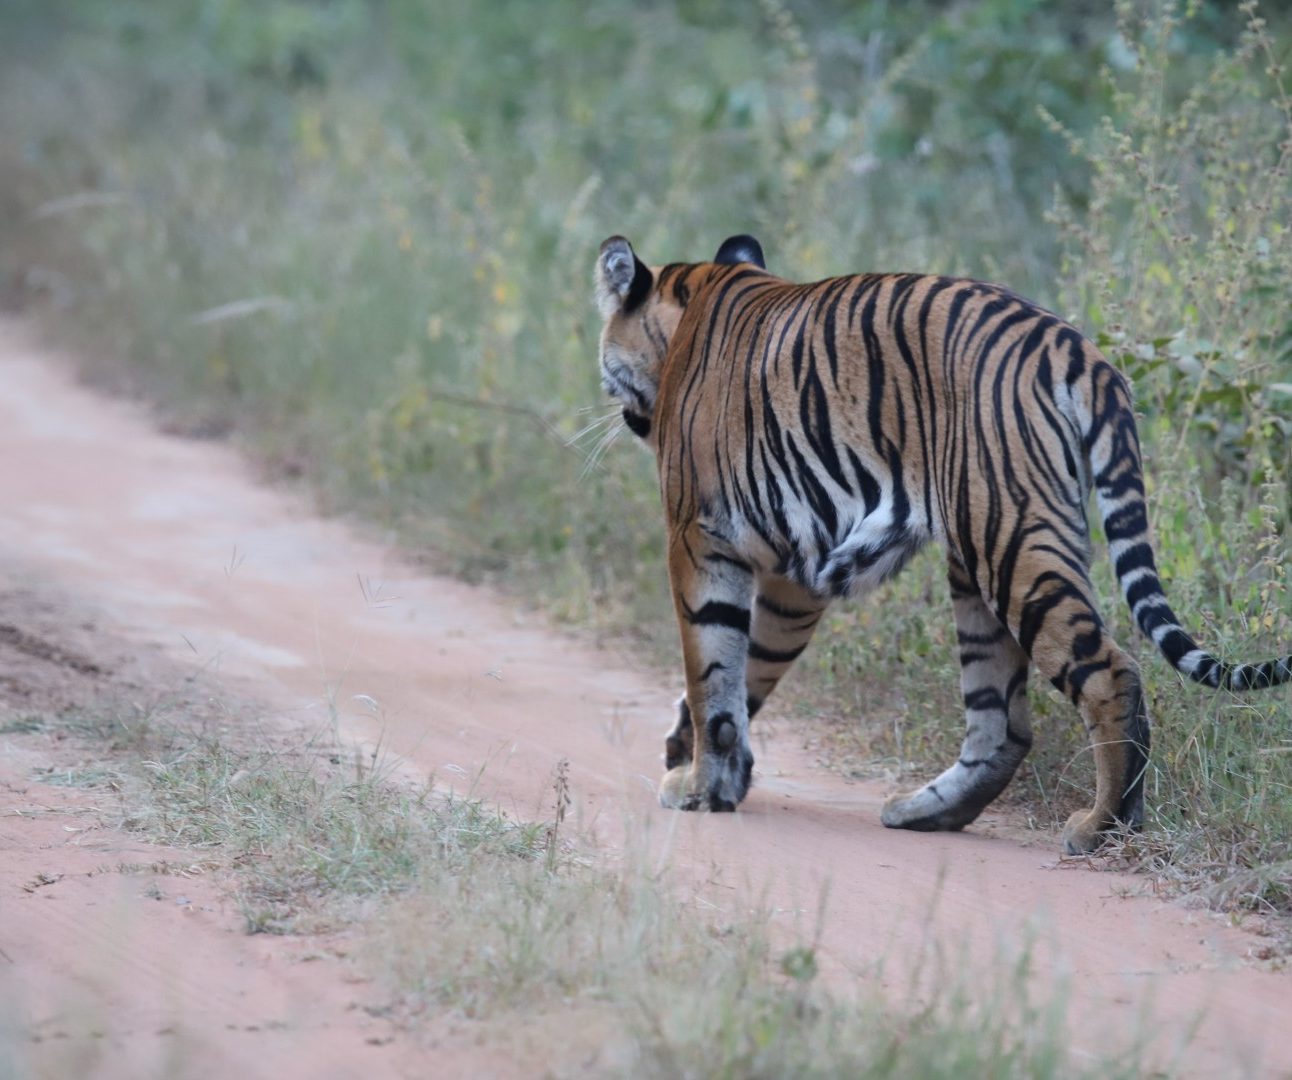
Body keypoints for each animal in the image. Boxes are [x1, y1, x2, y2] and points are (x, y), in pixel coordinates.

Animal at [594, 233, 1292, 852]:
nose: (616, 407)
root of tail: (1074, 346)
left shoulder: (701, 536)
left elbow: (712, 669)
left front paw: (699, 786)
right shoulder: (795, 576)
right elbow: (752, 667)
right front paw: (712, 768)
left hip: (1014, 542)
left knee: (1109, 673)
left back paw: (1102, 828)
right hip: (977, 563)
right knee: (1002, 721)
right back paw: (927, 812)